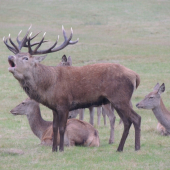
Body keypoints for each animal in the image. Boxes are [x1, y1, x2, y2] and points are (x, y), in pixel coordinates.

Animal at [3, 25, 141, 152]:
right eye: (16, 54)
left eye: (25, 57)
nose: (10, 57)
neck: (48, 85)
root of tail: (135, 75)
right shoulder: (54, 107)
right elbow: (54, 127)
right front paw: (54, 150)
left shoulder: (64, 103)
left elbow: (62, 128)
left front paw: (61, 149)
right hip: (117, 101)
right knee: (127, 121)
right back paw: (120, 148)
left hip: (120, 98)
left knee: (136, 118)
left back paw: (136, 147)